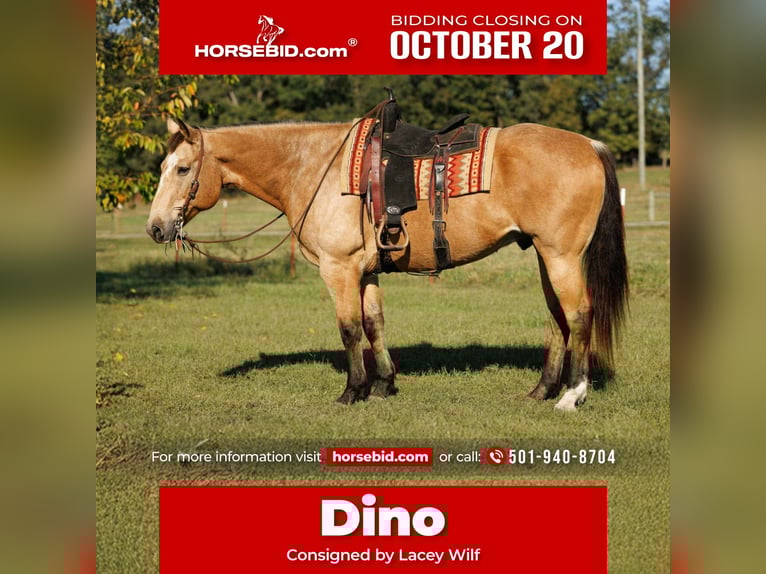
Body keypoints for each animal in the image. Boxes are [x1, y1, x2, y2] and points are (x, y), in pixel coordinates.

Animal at [146, 114, 628, 412]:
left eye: (183, 169)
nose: (156, 228)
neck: (315, 167)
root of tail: (589, 145)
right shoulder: (367, 271)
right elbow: (375, 324)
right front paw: (383, 385)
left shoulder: (338, 269)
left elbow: (349, 329)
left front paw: (352, 391)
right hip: (546, 257)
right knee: (558, 320)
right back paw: (542, 390)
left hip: (561, 256)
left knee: (579, 315)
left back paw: (572, 396)